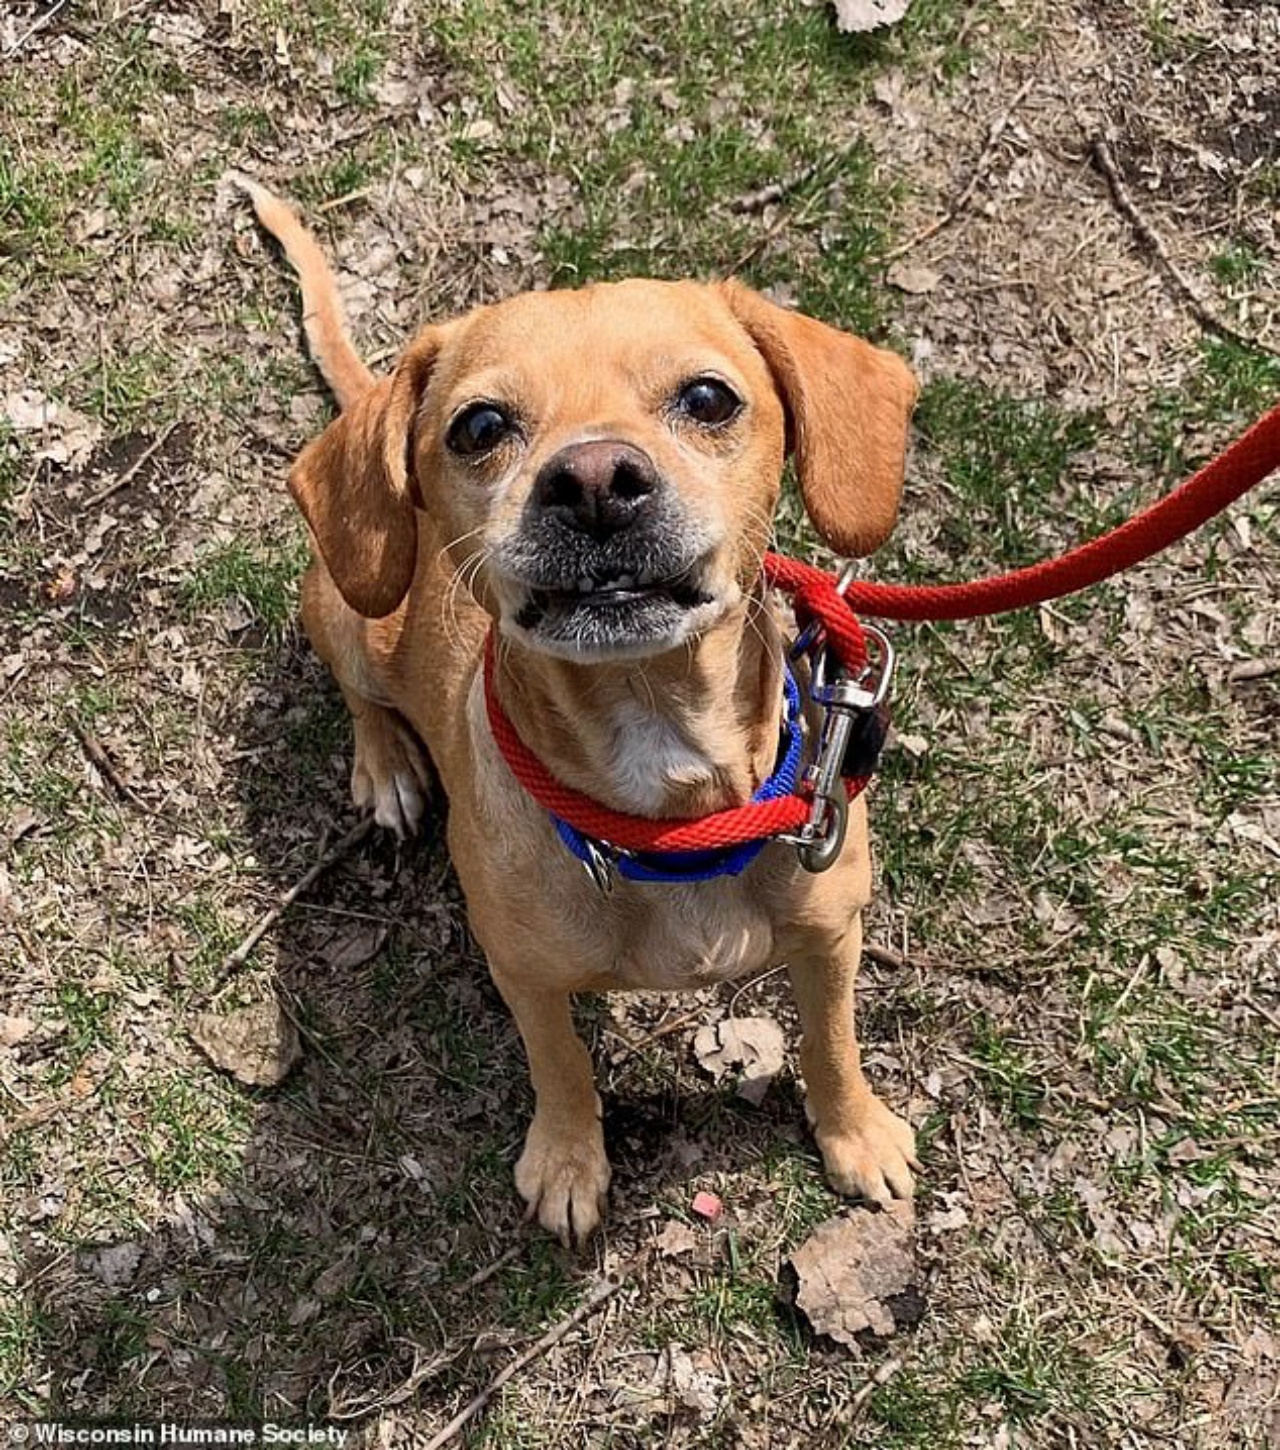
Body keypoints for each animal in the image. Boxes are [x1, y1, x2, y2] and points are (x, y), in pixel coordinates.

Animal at [240, 181, 921, 1241]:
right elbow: (558, 1064)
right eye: (479, 426)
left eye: (708, 399)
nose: (597, 479)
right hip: (343, 613)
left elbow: (833, 1042)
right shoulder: (524, 972)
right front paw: (567, 1161)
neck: (667, 787)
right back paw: (386, 766)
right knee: (359, 693)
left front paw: (857, 1133)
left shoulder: (832, 936)